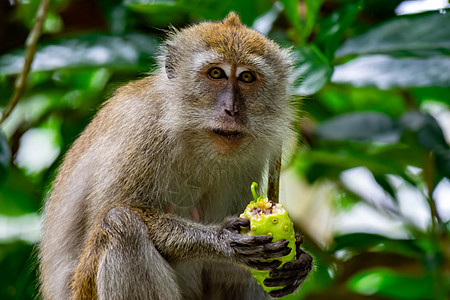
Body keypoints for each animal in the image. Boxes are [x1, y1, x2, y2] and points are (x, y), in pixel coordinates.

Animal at [38, 12, 312, 300]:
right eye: (216, 73)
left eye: (247, 77)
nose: (232, 110)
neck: (191, 133)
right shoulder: (141, 129)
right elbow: (108, 211)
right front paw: (220, 240)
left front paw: (300, 261)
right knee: (120, 224)